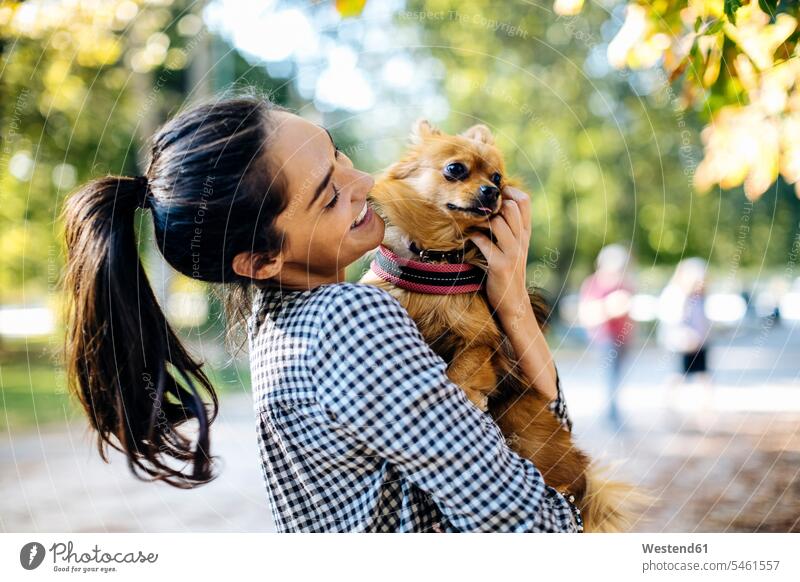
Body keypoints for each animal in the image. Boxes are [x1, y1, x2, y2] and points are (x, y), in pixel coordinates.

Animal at [358, 118, 644, 532]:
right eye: (455, 169)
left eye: (497, 177)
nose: (492, 192)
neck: (436, 260)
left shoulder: (483, 339)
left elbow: (462, 367)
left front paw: (465, 393)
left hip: (523, 418)